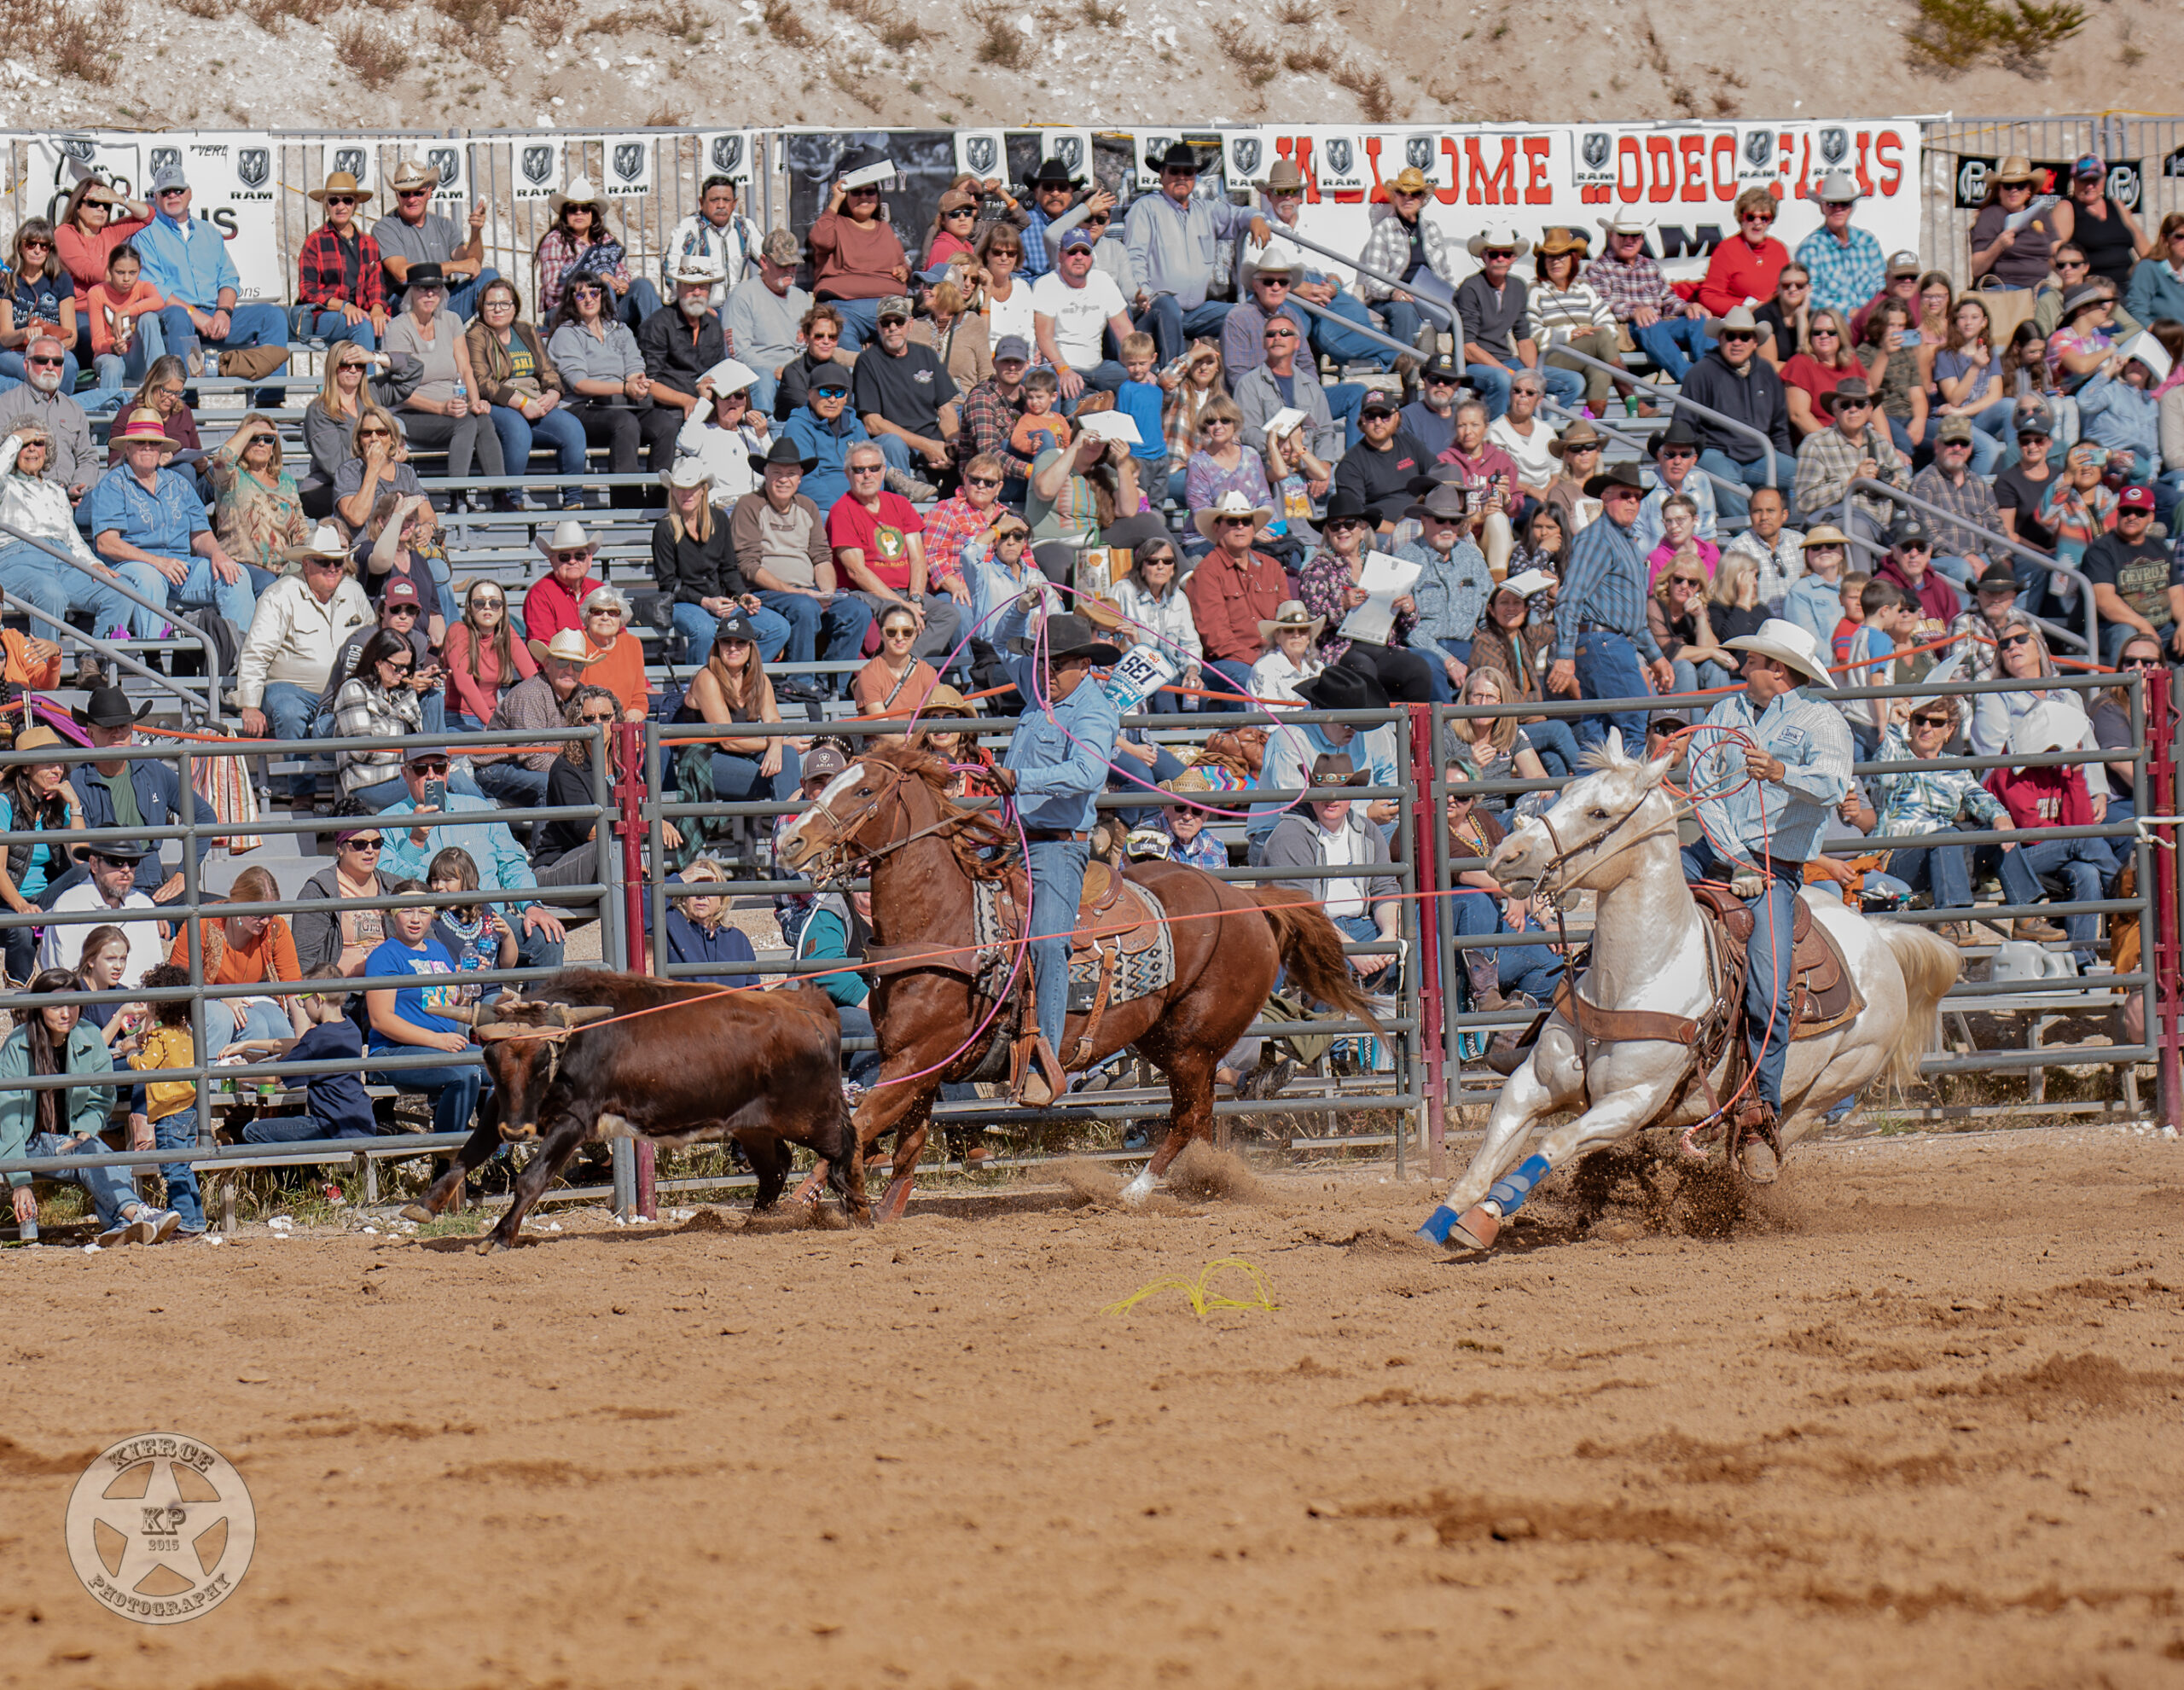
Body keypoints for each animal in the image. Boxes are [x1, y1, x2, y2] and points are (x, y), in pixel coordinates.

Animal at [773, 742, 1380, 1214]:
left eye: (862, 791)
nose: (789, 843)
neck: (950, 924)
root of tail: (1248, 900)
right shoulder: (916, 1062)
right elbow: (899, 1139)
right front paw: (874, 1206)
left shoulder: (918, 1057)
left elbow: (859, 1127)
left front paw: (813, 1201)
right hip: (1162, 1040)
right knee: (1202, 1119)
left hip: (1193, 1044)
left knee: (1189, 1117)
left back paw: (1135, 1191)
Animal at [1414, 733, 1966, 1248]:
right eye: (1565, 792)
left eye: (1599, 812)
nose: (1507, 857)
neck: (1635, 977)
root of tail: (1880, 938)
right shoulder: (1531, 1085)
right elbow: (1485, 1159)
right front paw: (1436, 1225)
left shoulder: (1630, 1105)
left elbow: (1553, 1146)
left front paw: (1486, 1216)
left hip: (1832, 1082)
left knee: (1773, 1135)